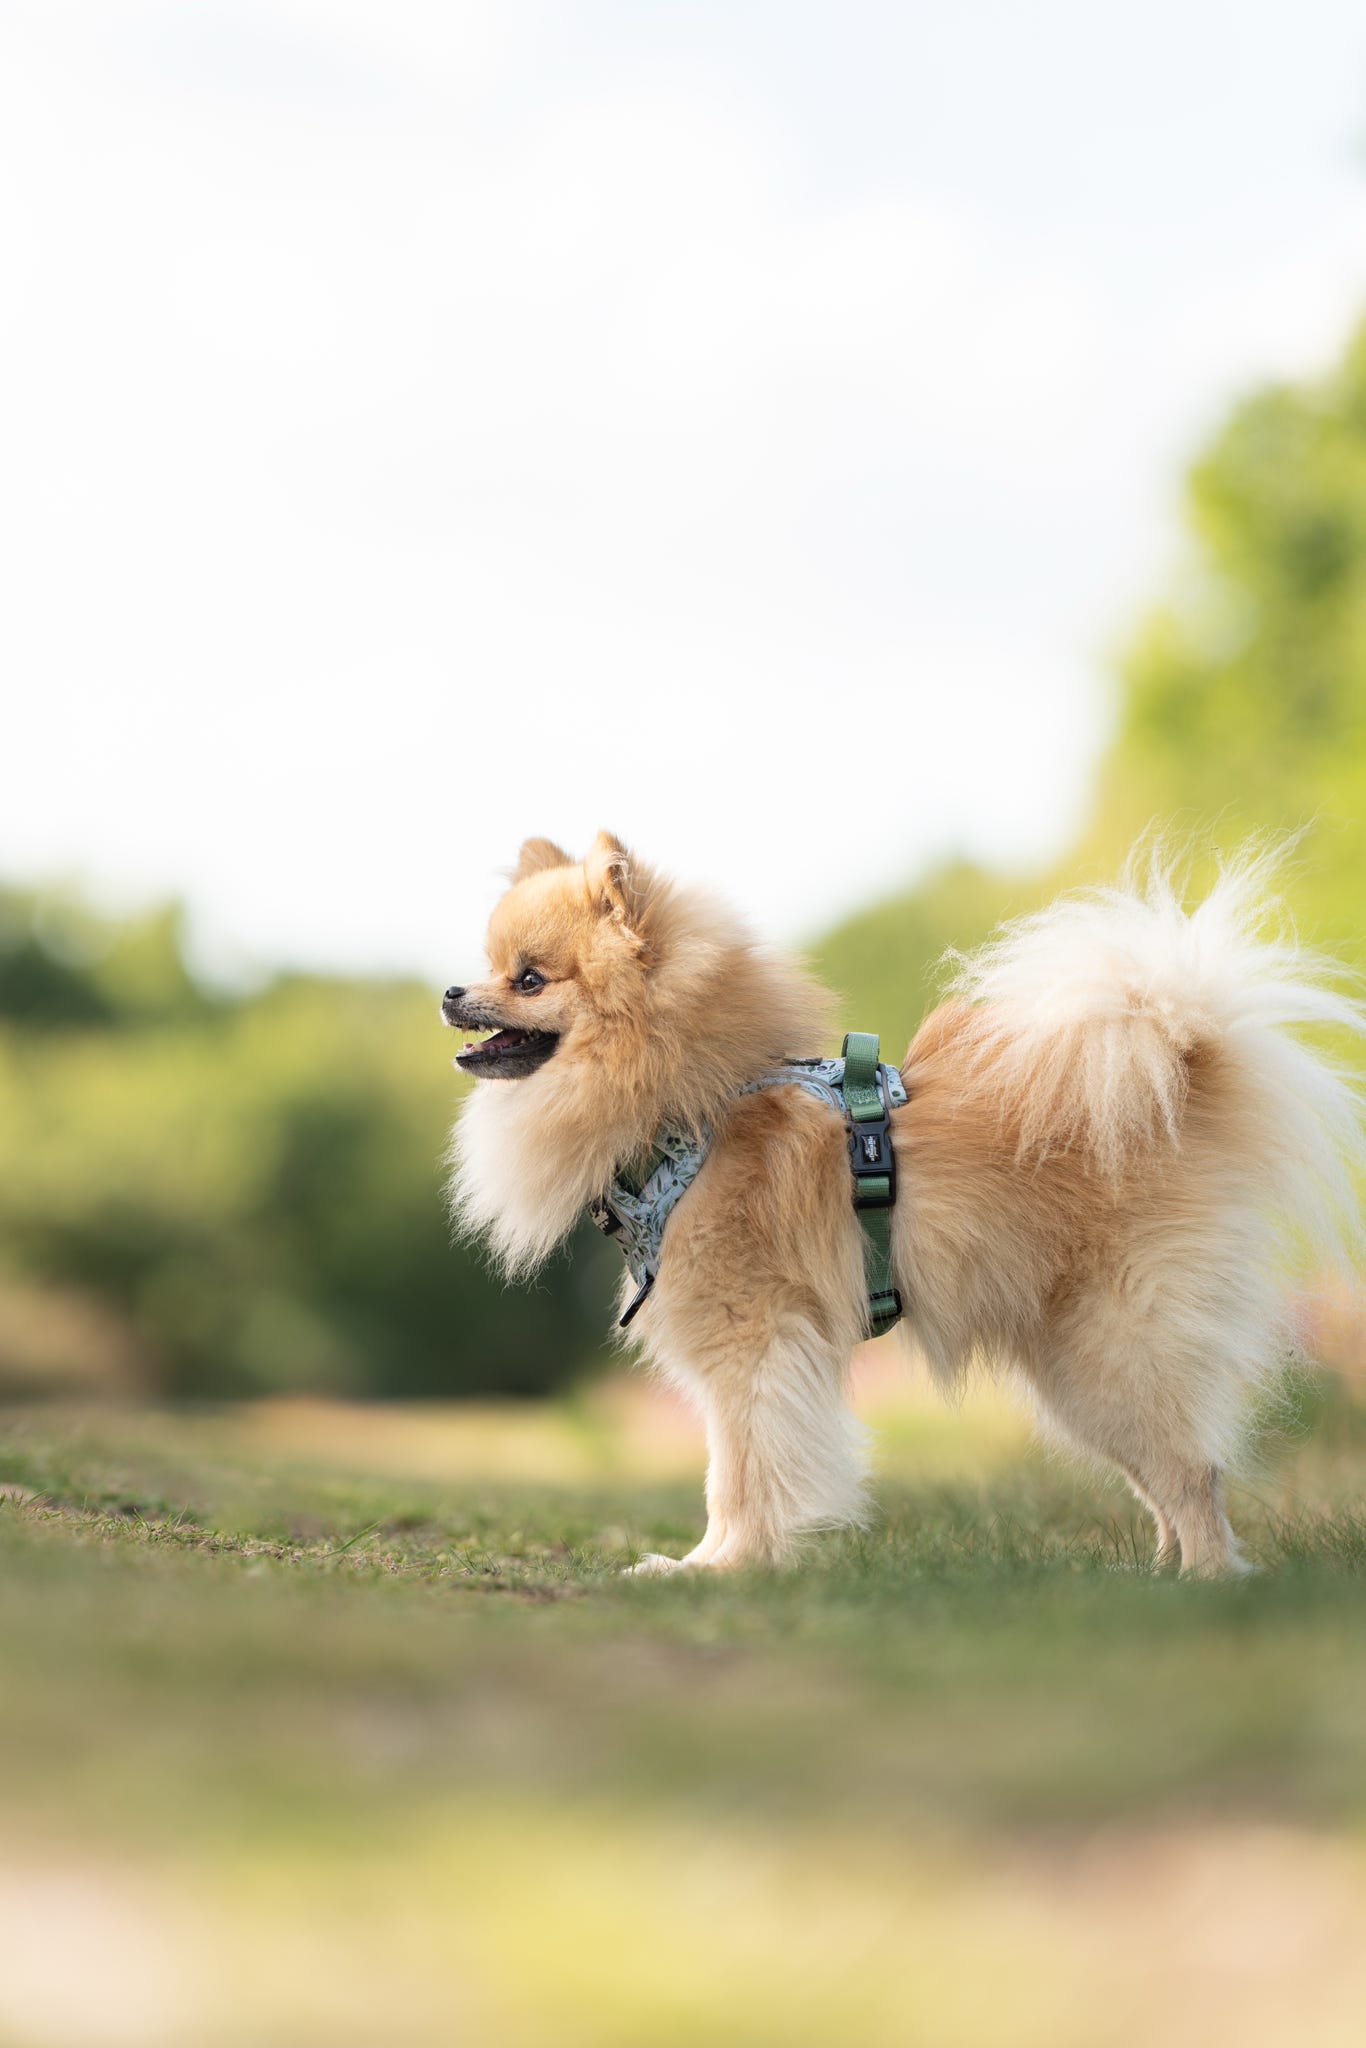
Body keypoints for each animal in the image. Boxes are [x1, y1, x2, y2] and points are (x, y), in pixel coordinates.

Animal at [445, 831, 1364, 1576]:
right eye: (492, 968)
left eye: (529, 979)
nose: (453, 991)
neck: (687, 1109)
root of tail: (1181, 1080)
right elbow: (725, 1469)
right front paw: (706, 1561)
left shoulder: (754, 1340)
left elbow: (740, 1473)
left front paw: (724, 1568)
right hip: (1080, 1371)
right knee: (1168, 1476)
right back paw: (1162, 1577)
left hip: (1112, 1352)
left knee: (1193, 1471)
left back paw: (1207, 1579)